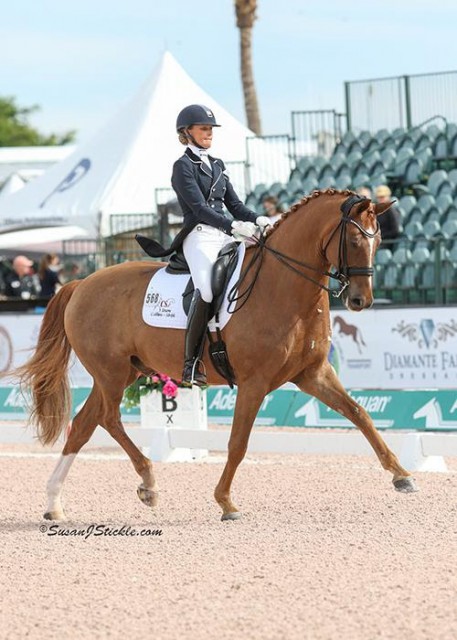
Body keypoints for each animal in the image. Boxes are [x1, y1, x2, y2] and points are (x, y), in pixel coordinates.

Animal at [15, 189, 416, 520]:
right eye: (354, 239)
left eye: (379, 239)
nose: (360, 300)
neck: (284, 287)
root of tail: (81, 283)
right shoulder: (254, 382)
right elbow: (238, 443)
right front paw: (226, 502)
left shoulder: (313, 375)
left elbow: (360, 414)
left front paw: (402, 476)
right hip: (111, 373)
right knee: (107, 418)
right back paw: (147, 482)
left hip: (126, 371)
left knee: (85, 424)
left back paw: (56, 504)